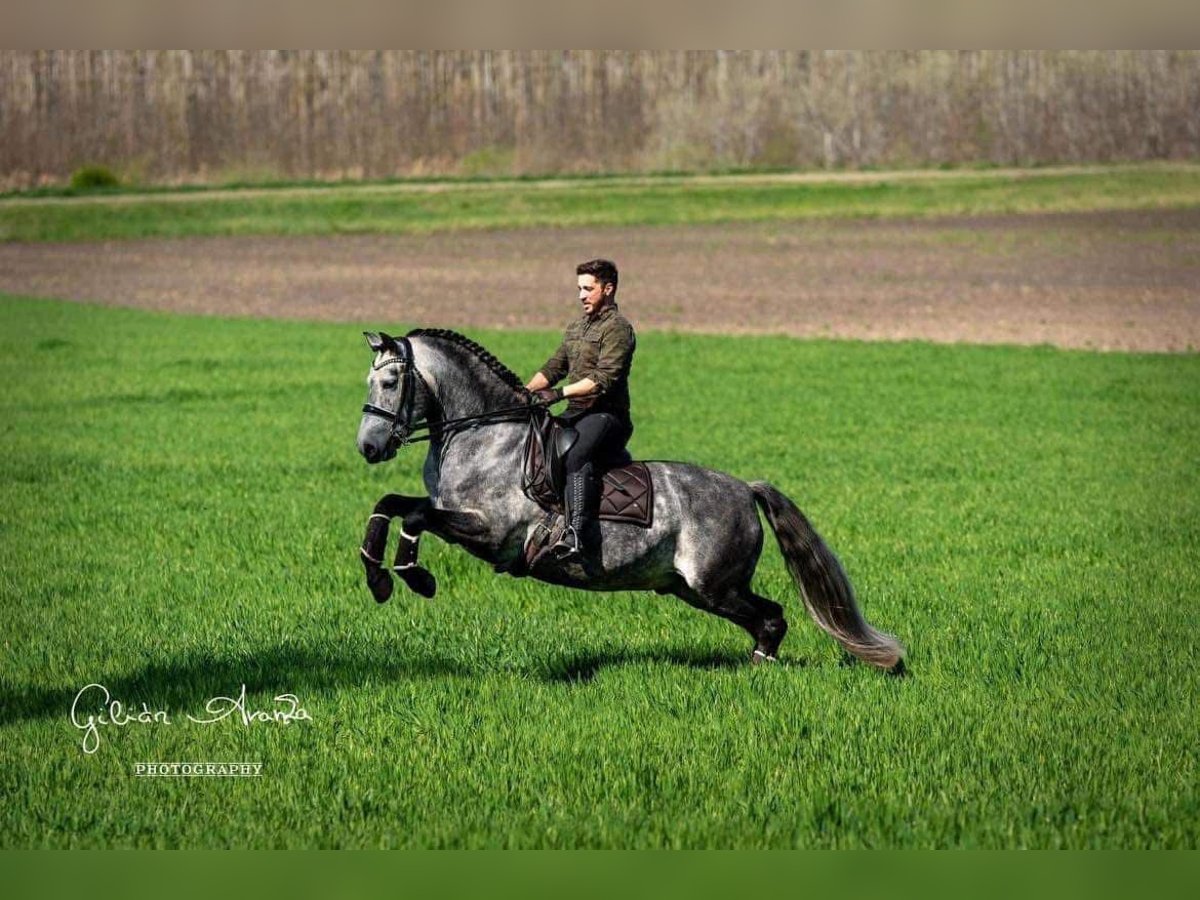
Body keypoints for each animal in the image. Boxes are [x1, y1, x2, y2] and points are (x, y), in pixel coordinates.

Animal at [352, 328, 902, 672]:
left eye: (390, 381)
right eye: (370, 380)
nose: (369, 448)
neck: (484, 433)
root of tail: (745, 490)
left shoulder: (491, 532)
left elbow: (416, 514)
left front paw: (414, 577)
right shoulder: (455, 515)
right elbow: (391, 502)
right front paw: (378, 579)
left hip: (713, 585)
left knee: (772, 617)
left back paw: (757, 672)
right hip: (690, 588)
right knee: (766, 619)